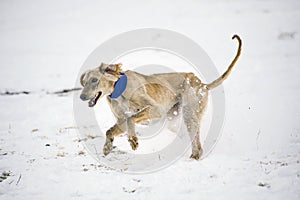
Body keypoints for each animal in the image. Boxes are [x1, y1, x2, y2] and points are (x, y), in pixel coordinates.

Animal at [79, 34, 241, 159]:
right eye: (84, 82)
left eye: (94, 80)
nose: (81, 97)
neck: (118, 90)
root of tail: (202, 84)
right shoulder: (121, 119)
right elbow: (110, 130)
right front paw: (107, 147)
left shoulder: (156, 109)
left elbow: (132, 118)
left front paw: (132, 140)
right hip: (173, 118)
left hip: (189, 114)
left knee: (197, 145)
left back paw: (194, 157)